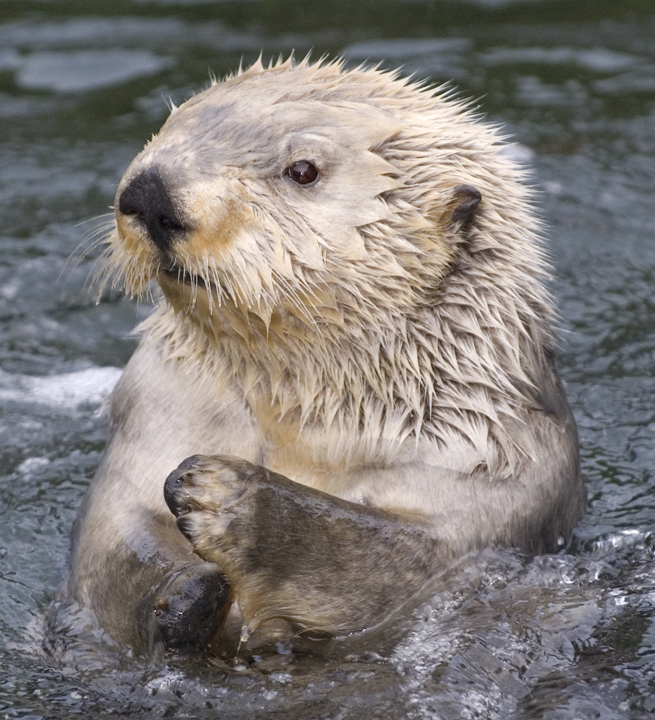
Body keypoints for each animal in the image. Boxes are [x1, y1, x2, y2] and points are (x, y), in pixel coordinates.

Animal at [65, 54, 584, 652]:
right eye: (167, 126)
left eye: (303, 171)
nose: (150, 192)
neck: (306, 419)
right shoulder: (154, 407)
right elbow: (112, 532)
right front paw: (187, 591)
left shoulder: (501, 480)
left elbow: (384, 556)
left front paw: (225, 497)